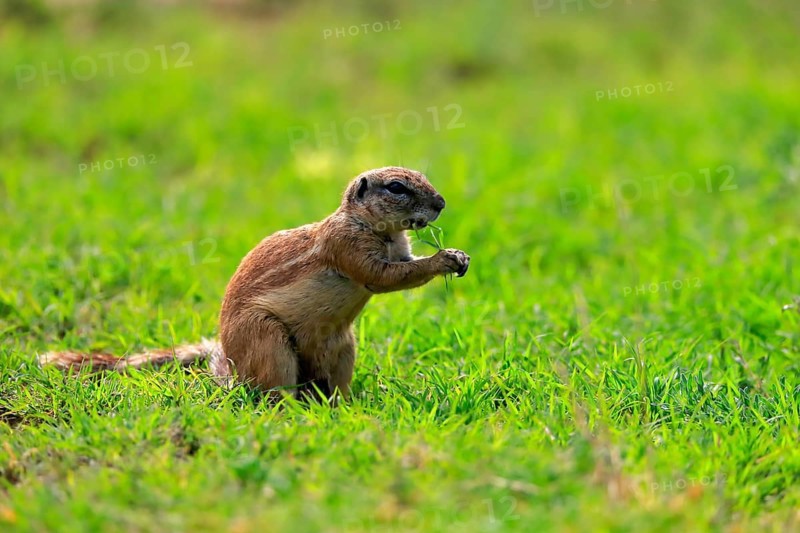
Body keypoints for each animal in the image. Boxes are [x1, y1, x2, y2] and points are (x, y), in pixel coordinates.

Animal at [39, 167, 470, 400]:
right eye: (397, 187)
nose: (442, 203)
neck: (373, 227)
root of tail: (232, 371)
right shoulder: (346, 247)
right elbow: (383, 278)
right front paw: (444, 259)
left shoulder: (398, 249)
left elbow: (404, 266)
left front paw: (459, 256)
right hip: (267, 339)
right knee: (272, 392)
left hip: (343, 345)